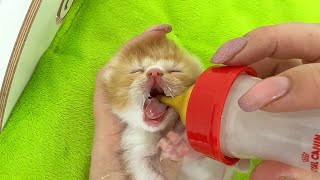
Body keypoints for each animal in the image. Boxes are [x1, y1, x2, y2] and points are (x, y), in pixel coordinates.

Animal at [102, 24, 248, 179]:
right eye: (136, 71)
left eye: (175, 70)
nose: (154, 72)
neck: (159, 132)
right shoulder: (137, 153)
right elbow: (149, 173)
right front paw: (174, 149)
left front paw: (178, 148)